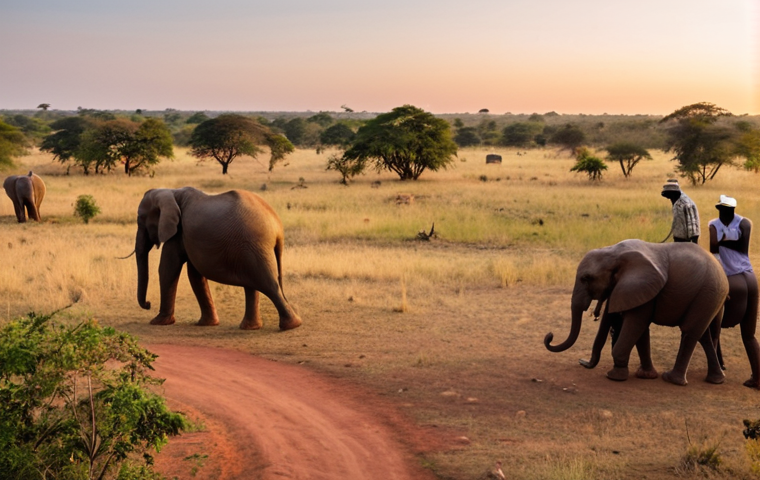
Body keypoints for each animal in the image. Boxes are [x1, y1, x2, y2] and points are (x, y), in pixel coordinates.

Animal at [135, 187, 302, 331]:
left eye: (141, 220)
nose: (148, 304)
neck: (171, 192)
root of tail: (278, 228)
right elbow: (194, 275)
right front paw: (208, 324)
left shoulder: (177, 233)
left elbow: (167, 268)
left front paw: (158, 322)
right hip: (250, 249)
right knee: (253, 285)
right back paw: (252, 327)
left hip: (252, 245)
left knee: (267, 283)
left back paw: (291, 326)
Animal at [545, 239, 728, 386]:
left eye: (586, 278)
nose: (582, 362)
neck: (613, 252)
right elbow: (641, 330)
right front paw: (645, 375)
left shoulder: (641, 286)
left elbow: (635, 324)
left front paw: (614, 376)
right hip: (710, 296)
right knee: (703, 335)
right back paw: (716, 380)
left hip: (707, 293)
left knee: (689, 332)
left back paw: (672, 379)